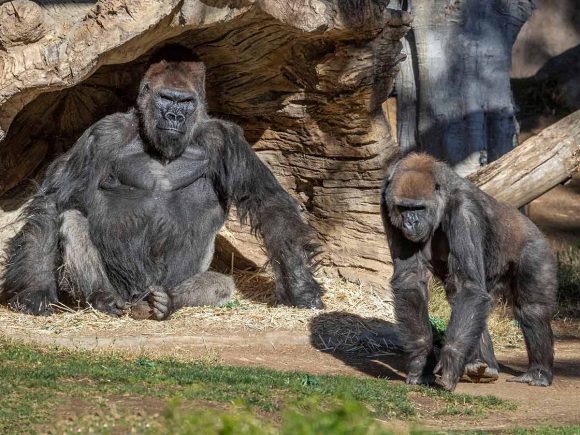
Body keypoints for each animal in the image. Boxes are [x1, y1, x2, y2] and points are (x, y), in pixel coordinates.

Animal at [380, 153, 556, 392]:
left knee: (531, 309)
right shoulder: (385, 202)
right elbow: (411, 280)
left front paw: (452, 358)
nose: (411, 223)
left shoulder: (465, 211)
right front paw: (421, 359)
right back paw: (480, 365)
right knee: (462, 297)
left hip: (536, 246)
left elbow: (468, 287)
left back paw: (538, 372)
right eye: (403, 208)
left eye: (419, 208)